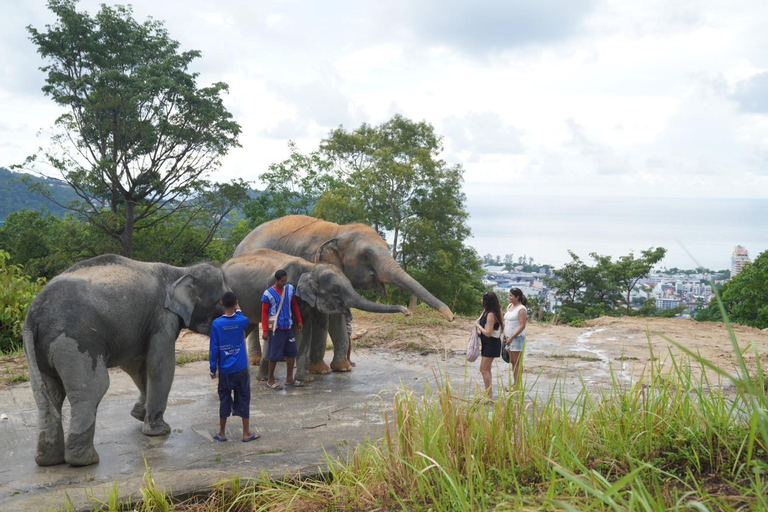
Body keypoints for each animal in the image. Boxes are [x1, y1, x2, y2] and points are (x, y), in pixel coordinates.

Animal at [23, 254, 229, 467]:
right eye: (223, 301)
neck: (181, 271)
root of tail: (32, 319)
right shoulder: (162, 317)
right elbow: (160, 365)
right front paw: (160, 431)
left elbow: (135, 365)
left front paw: (138, 415)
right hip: (76, 342)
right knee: (92, 389)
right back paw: (85, 461)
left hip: (41, 351)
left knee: (47, 395)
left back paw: (48, 461)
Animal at [233, 215, 454, 373]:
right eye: (366, 255)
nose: (451, 317)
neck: (338, 231)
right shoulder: (312, 262)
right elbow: (321, 315)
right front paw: (321, 371)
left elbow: (337, 314)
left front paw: (343, 369)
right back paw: (256, 361)